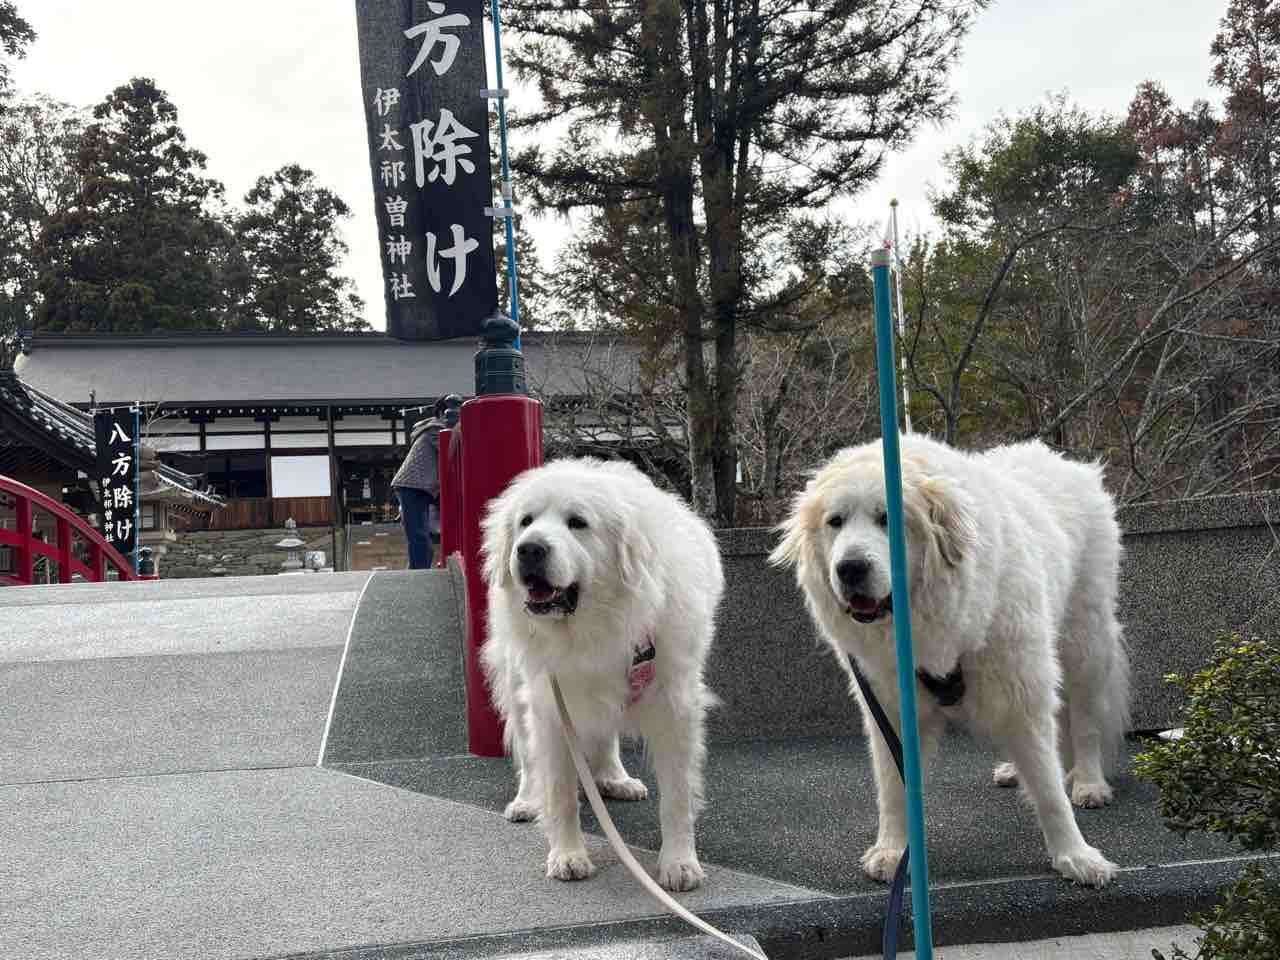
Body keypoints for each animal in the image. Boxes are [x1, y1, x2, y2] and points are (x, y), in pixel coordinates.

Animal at [481, 458, 723, 892]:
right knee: (527, 751)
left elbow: (677, 796)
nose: (529, 548)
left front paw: (679, 862)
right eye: (526, 521)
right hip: (517, 679)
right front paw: (567, 855)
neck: (599, 627)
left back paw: (614, 777)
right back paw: (526, 800)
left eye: (577, 522)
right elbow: (559, 791)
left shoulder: (675, 707)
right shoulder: (549, 704)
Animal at [770, 435, 1130, 888]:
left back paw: (1088, 782)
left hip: (1085, 645)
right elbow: (894, 789)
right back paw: (1013, 768)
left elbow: (1048, 788)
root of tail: (1063, 461)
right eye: (835, 521)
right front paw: (893, 852)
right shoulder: (890, 707)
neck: (932, 615)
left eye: (887, 518)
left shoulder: (1023, 691)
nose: (850, 568)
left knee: (1084, 723)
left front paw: (1076, 856)